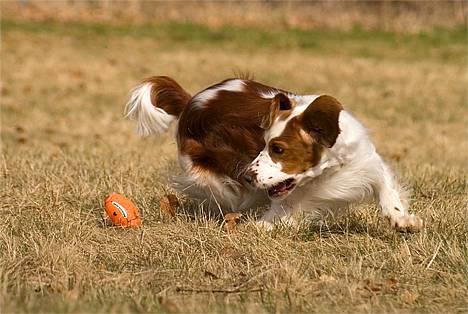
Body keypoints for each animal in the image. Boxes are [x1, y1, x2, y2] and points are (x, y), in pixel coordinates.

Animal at [125, 76, 424, 232]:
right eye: (263, 144)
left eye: (278, 149)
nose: (246, 176)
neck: (328, 171)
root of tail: (191, 101)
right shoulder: (287, 201)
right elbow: (271, 219)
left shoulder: (364, 163)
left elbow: (385, 188)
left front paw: (402, 219)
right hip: (209, 174)